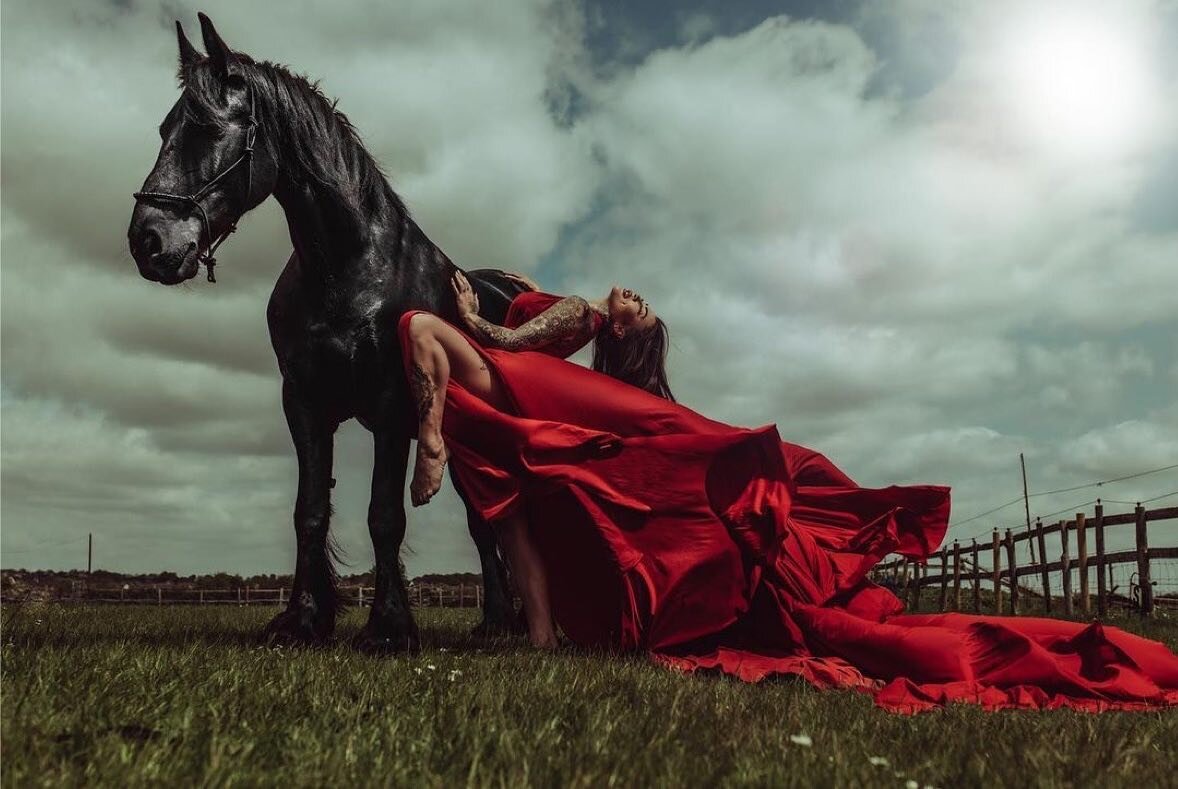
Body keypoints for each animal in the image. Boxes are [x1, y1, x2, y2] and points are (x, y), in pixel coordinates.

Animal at [125, 13, 520, 654]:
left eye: (206, 129)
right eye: (164, 129)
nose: (148, 241)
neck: (349, 266)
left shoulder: (391, 406)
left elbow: (384, 516)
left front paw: (388, 628)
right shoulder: (305, 404)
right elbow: (309, 511)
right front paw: (304, 619)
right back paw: (497, 622)